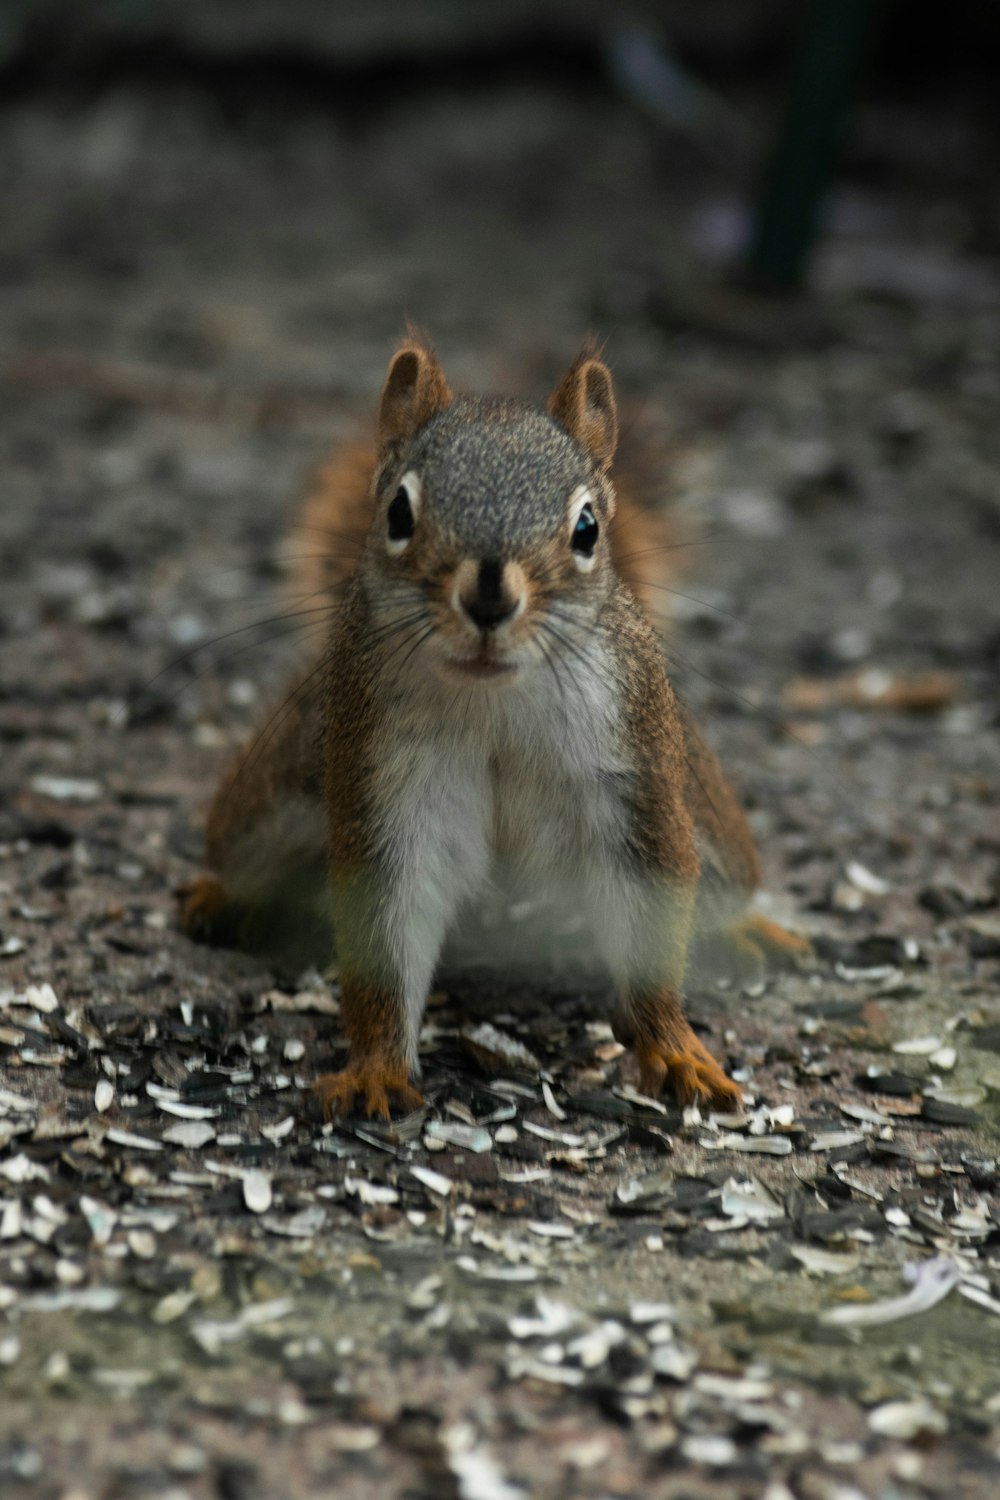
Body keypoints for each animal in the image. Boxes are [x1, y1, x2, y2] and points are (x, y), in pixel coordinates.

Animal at [177, 334, 803, 1122]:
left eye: (588, 528)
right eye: (397, 512)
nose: (488, 597)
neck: (492, 697)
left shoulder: (629, 777)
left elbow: (649, 909)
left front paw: (675, 1048)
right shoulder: (388, 780)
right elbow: (388, 927)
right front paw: (376, 1069)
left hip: (710, 827)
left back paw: (750, 927)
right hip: (270, 801)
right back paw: (221, 897)